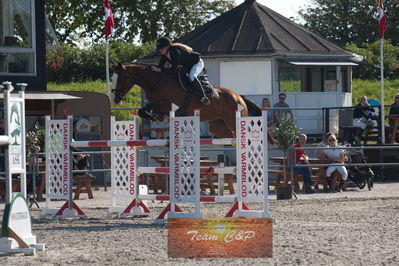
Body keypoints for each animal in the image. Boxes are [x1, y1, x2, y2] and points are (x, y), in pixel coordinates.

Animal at [111, 62, 270, 141]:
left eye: (121, 78)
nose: (114, 99)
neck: (157, 82)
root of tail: (239, 97)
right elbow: (142, 110)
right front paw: (155, 116)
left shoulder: (170, 104)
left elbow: (151, 107)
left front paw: (158, 116)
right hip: (218, 126)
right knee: (230, 136)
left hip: (234, 121)